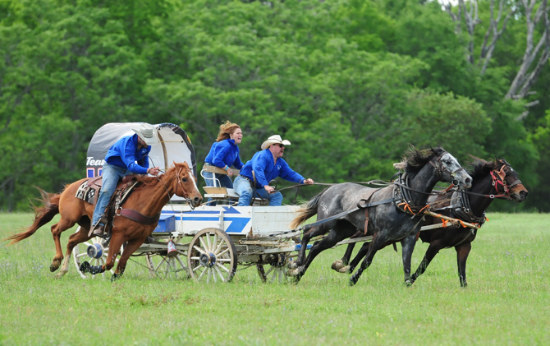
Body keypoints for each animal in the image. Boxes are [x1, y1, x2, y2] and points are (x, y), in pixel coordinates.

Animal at [4, 162, 203, 278]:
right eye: (184, 178)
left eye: (194, 178)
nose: (197, 199)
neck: (143, 201)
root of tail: (69, 187)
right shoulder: (118, 234)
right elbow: (108, 262)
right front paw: (89, 267)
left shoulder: (137, 239)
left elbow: (121, 265)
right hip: (69, 219)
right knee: (55, 230)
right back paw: (56, 262)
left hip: (88, 228)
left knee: (71, 241)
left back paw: (63, 270)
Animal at [288, 147, 474, 286]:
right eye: (447, 161)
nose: (468, 179)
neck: (403, 200)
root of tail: (329, 189)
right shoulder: (380, 235)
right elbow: (367, 260)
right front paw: (352, 280)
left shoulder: (409, 238)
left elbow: (407, 264)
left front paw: (408, 284)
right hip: (326, 222)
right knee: (307, 232)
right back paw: (297, 263)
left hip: (341, 231)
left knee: (317, 246)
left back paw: (298, 275)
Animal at [334, 157, 528, 286]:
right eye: (506, 174)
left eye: (514, 172)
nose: (523, 193)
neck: (459, 207)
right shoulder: (436, 243)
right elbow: (422, 267)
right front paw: (409, 281)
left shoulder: (464, 246)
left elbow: (462, 273)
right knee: (357, 239)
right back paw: (344, 264)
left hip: (389, 236)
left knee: (366, 246)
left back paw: (348, 267)